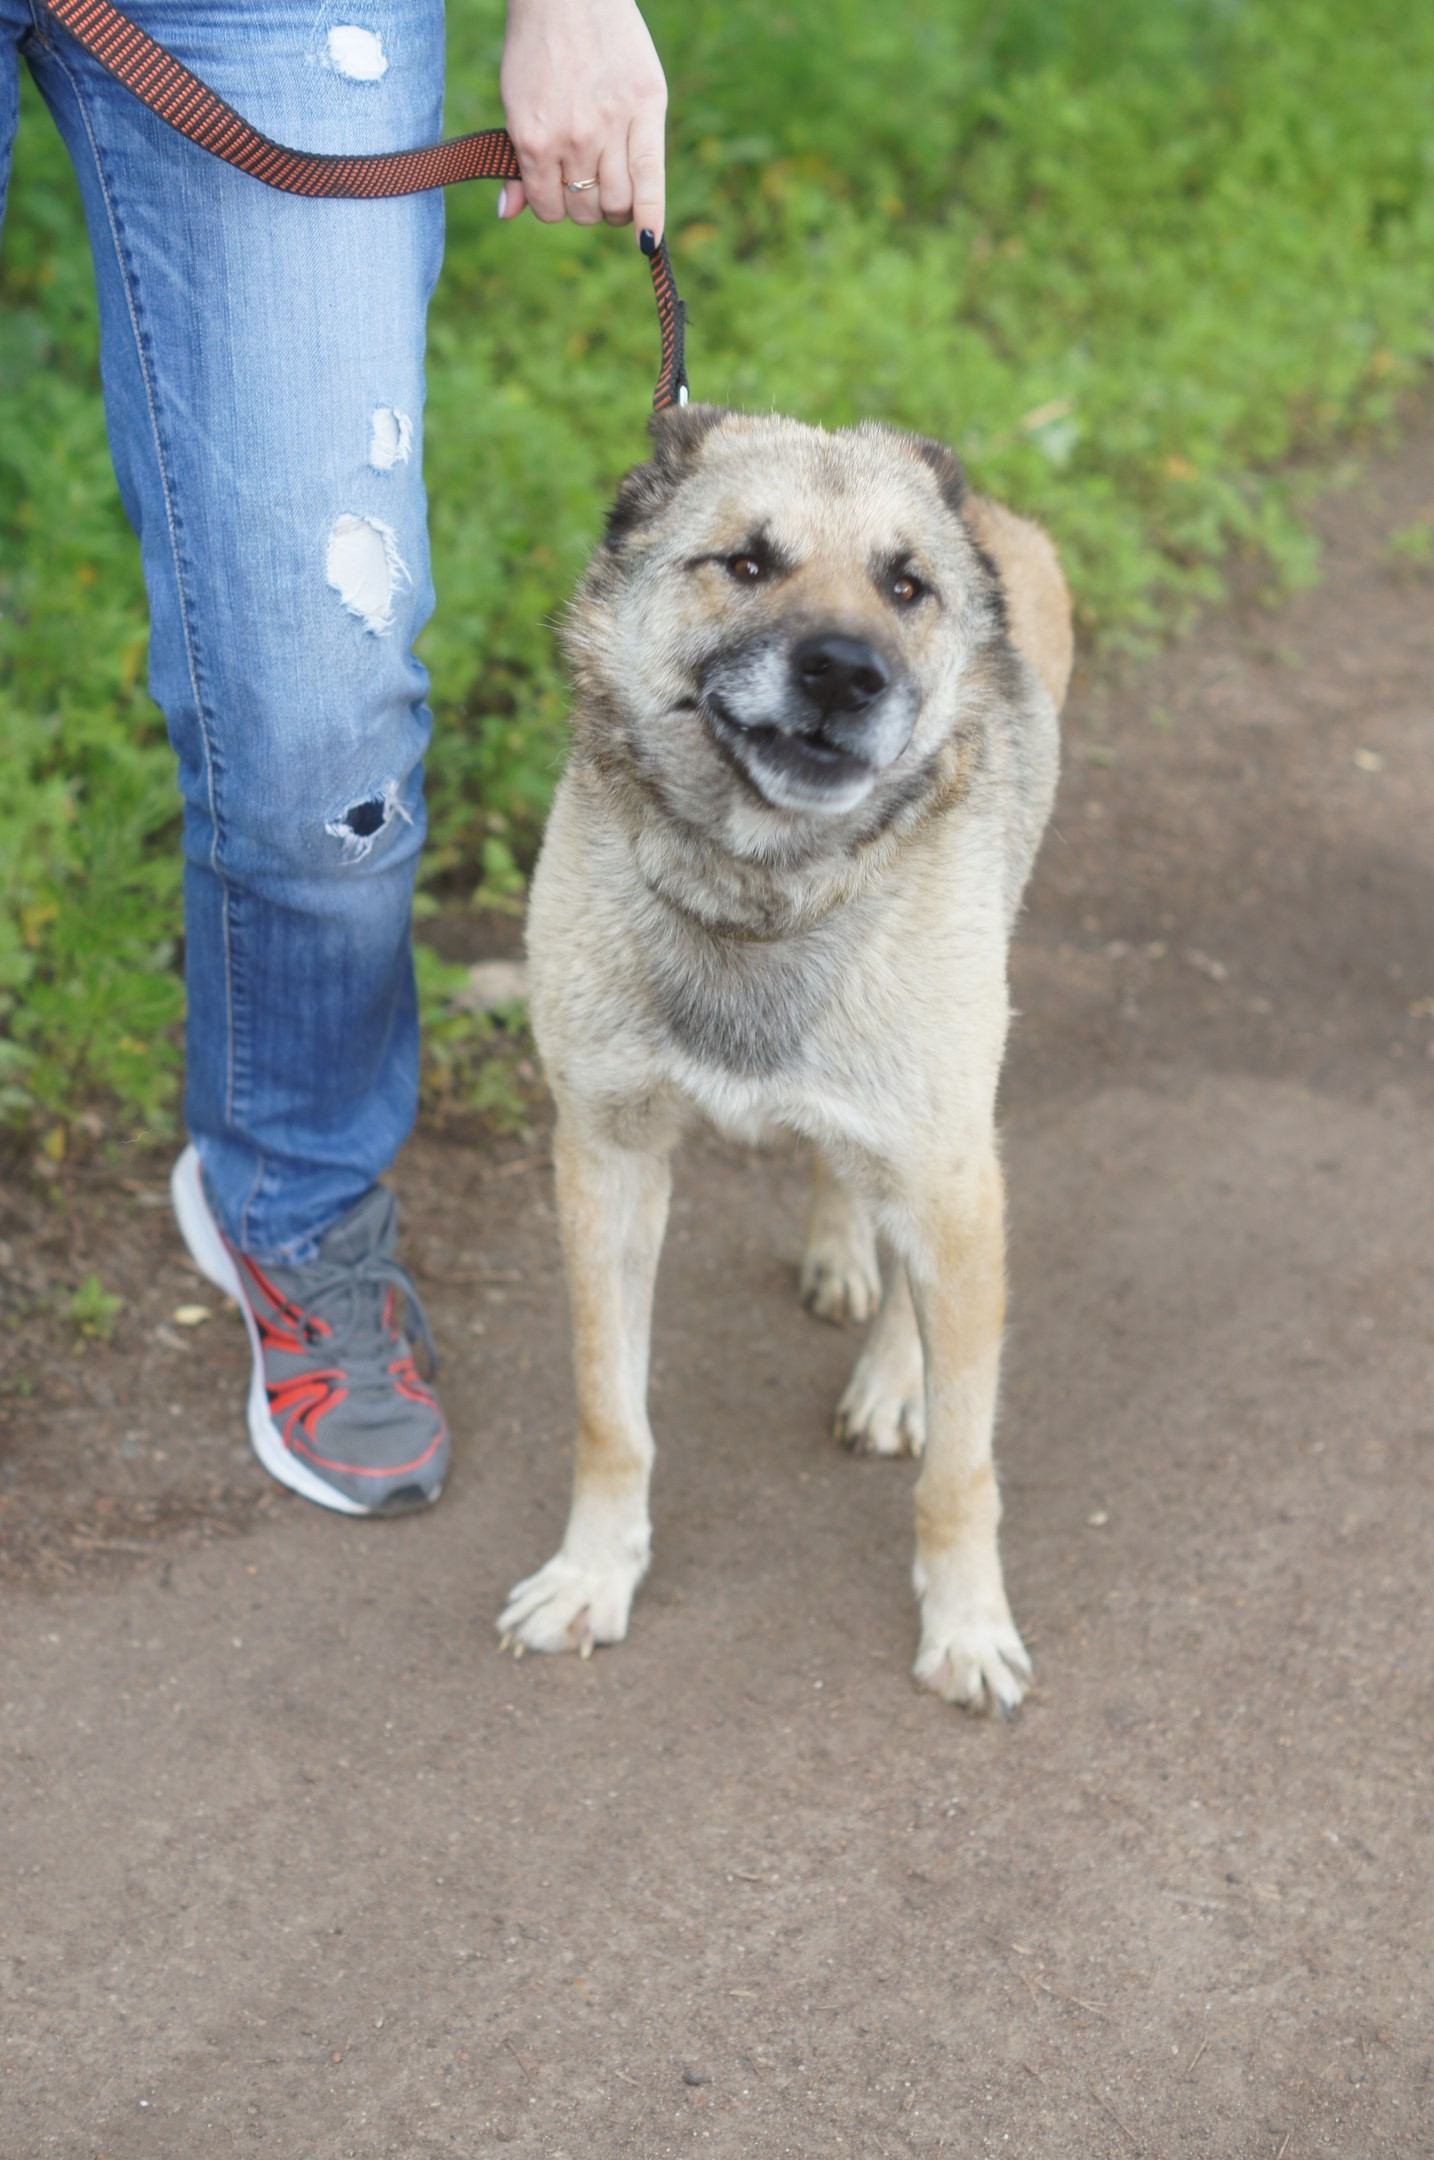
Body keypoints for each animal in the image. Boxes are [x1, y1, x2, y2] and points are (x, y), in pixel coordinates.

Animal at [498, 406, 1071, 1710]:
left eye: (906, 587)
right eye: (748, 562)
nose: (846, 674)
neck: (761, 894)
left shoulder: (954, 1179)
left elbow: (962, 1471)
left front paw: (967, 1626)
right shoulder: (604, 1162)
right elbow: (611, 1415)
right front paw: (593, 1576)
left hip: (951, 1144)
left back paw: (893, 1371)